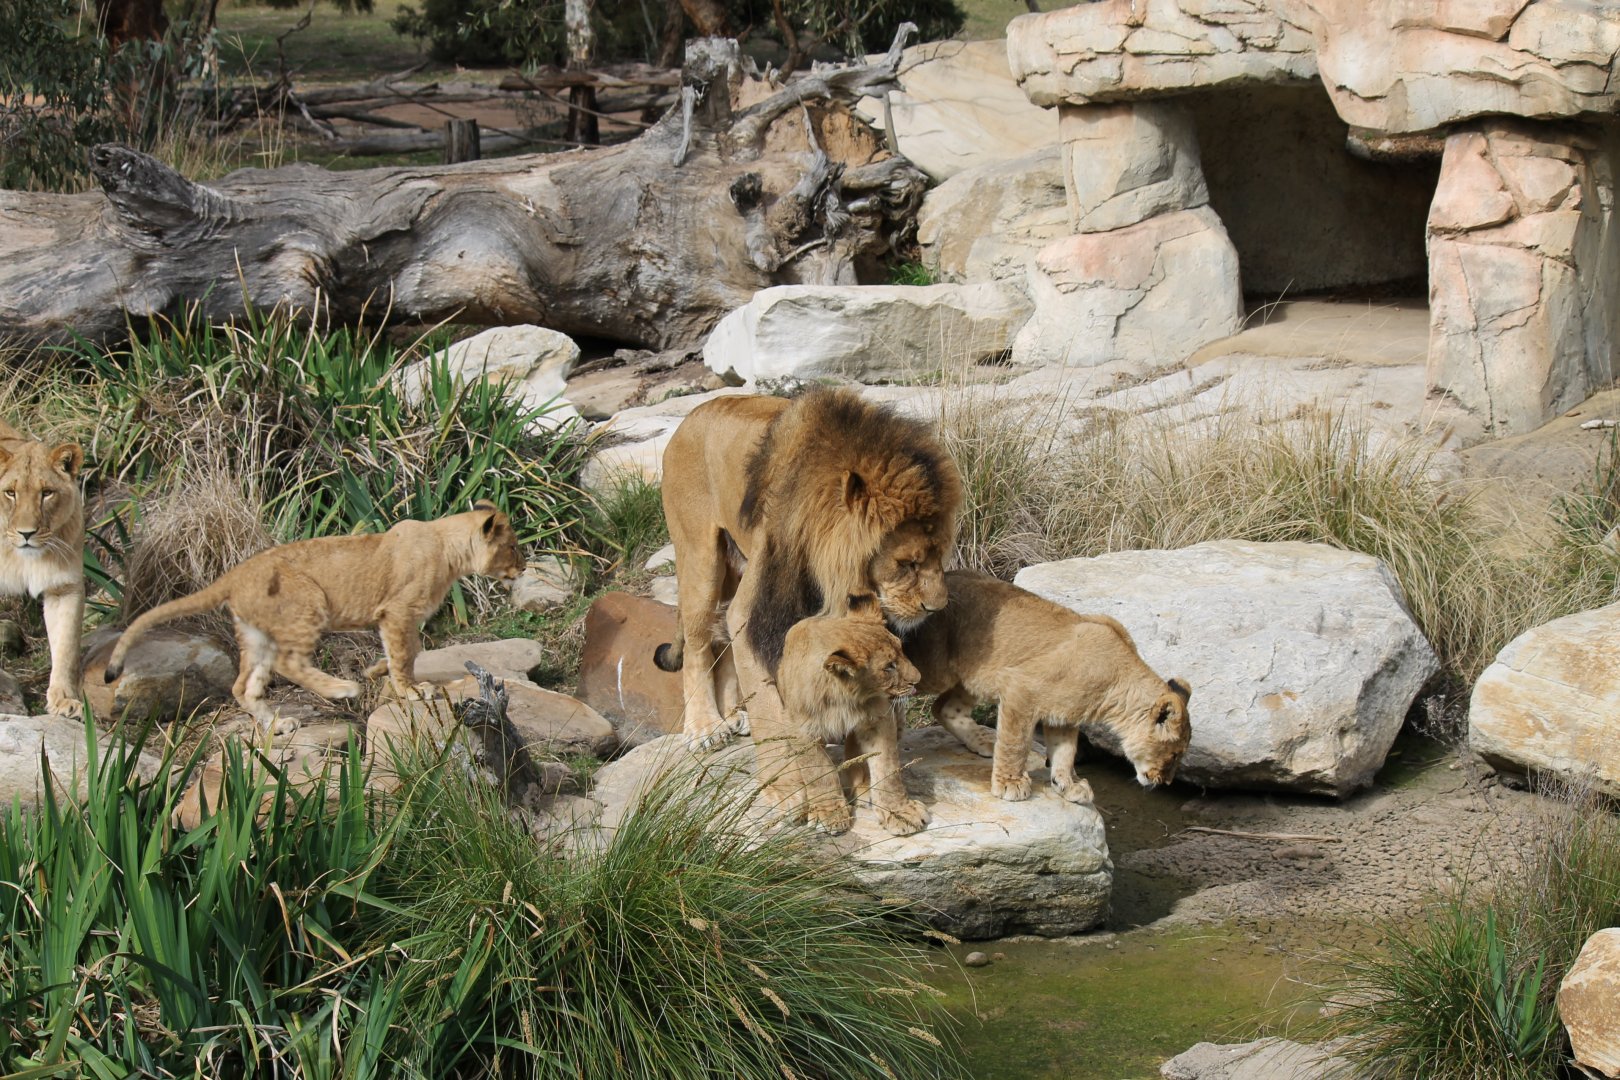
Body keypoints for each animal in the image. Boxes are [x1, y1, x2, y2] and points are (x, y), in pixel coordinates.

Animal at [0, 420, 86, 717]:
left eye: (46, 493)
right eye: (10, 493)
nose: (27, 533)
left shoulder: (63, 587)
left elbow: (66, 645)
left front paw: (64, 700)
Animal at [104, 502, 523, 733]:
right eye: (513, 546)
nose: (524, 566)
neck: (448, 547)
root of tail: (234, 575)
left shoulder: (396, 617)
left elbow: (405, 650)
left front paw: (378, 672)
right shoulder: (397, 611)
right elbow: (406, 653)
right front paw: (412, 690)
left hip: (256, 632)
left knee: (244, 686)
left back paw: (278, 726)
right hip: (309, 603)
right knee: (288, 663)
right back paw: (341, 689)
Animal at [655, 388, 961, 835]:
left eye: (941, 554)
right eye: (907, 563)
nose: (936, 606)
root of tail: (693, 413)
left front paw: (866, 786)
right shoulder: (756, 613)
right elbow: (771, 715)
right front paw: (786, 794)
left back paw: (733, 714)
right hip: (699, 558)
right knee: (697, 643)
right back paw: (706, 728)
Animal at [903, 571, 1192, 803]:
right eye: (1174, 755)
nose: (1165, 782)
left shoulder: (1064, 715)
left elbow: (1065, 752)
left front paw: (1068, 785)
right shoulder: (1020, 688)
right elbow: (1016, 743)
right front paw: (1010, 783)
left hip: (977, 676)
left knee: (944, 708)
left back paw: (982, 740)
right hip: (933, 670)